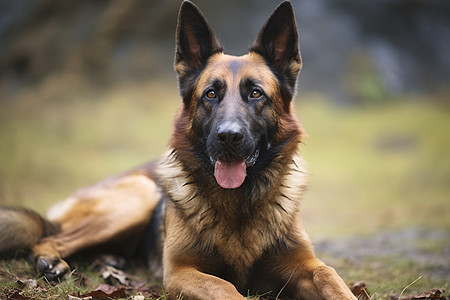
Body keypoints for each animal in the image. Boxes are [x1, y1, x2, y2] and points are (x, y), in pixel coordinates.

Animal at [0, 1, 358, 298]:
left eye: (256, 93)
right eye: (211, 94)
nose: (229, 137)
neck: (240, 203)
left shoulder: (308, 265)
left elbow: (331, 277)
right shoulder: (180, 272)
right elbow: (227, 288)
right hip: (139, 197)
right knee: (47, 237)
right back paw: (53, 262)